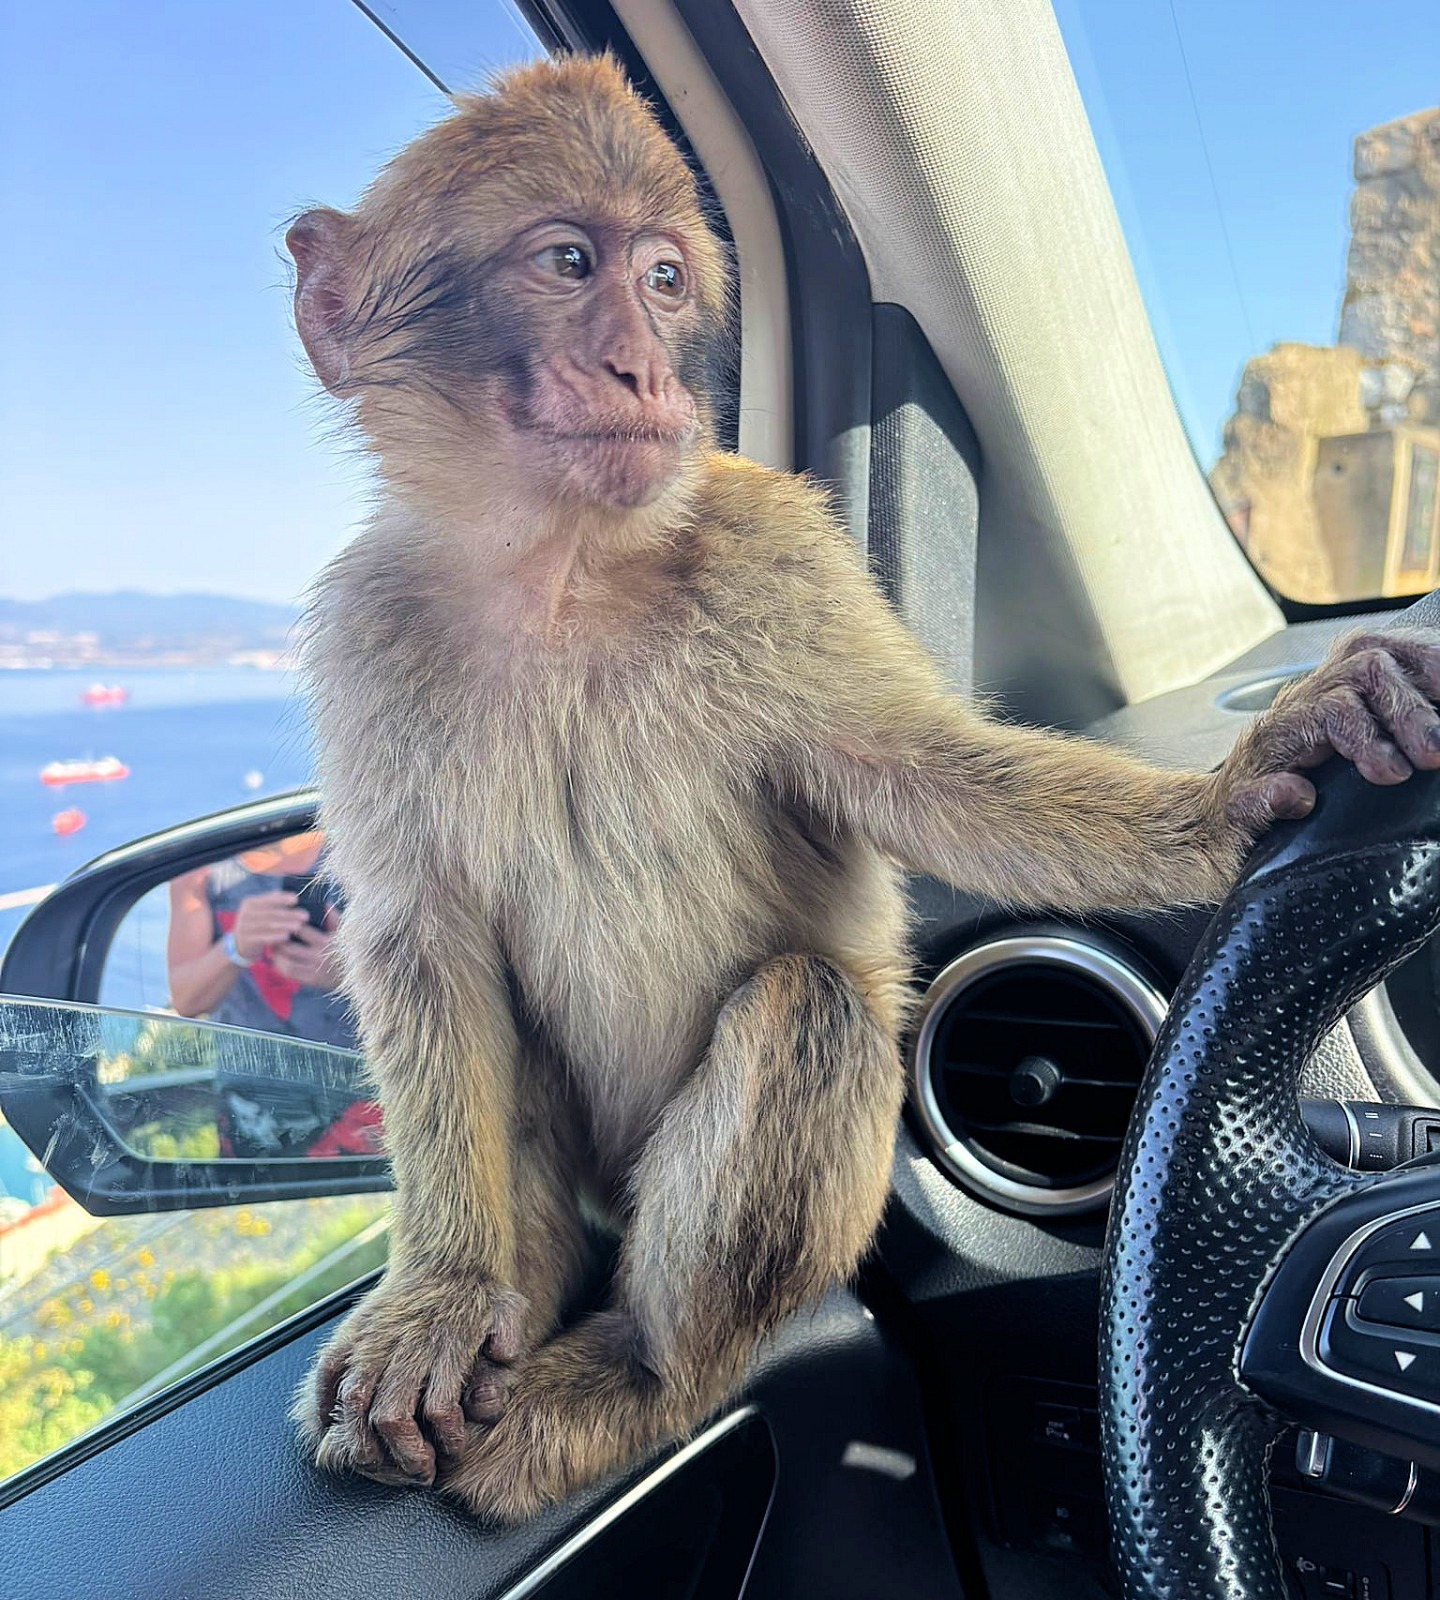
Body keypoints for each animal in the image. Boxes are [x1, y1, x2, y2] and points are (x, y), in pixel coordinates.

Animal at [286, 53, 1440, 1524]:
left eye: (664, 279)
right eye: (566, 261)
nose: (645, 366)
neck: (565, 571)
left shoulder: (782, 556)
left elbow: (920, 775)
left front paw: (1252, 783)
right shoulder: (369, 631)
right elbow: (417, 933)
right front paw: (438, 1296)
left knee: (812, 1012)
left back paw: (640, 1376)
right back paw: (505, 1295)